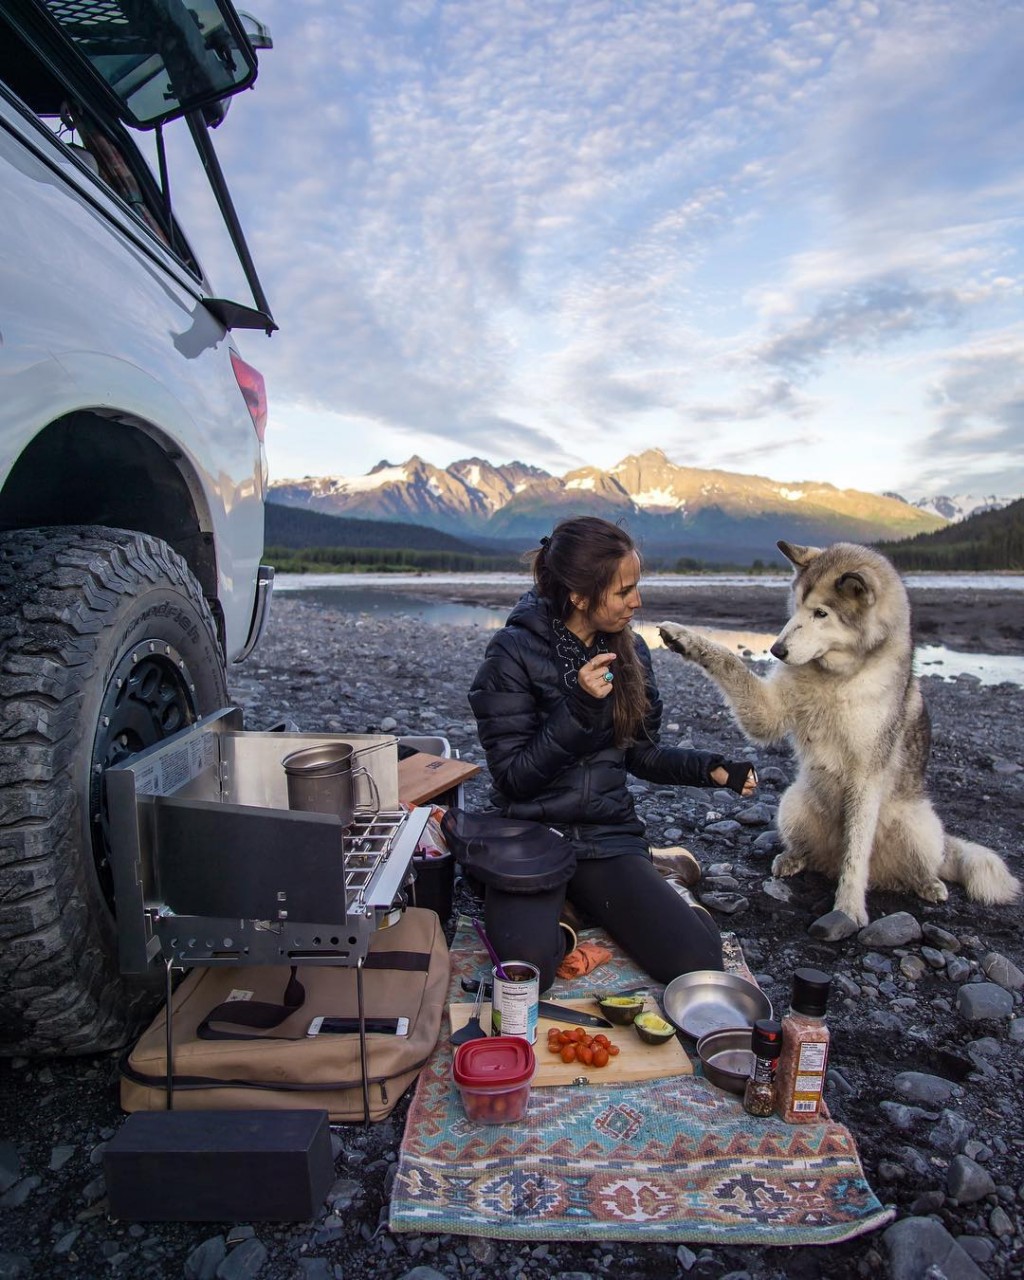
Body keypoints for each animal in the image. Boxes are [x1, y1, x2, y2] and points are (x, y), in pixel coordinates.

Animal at [660, 535, 1018, 926]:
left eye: (821, 613)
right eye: (796, 607)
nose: (776, 649)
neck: (835, 678)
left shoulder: (866, 776)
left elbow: (856, 853)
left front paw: (848, 909)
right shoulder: (767, 712)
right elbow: (728, 661)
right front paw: (684, 638)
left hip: (919, 828)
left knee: (924, 864)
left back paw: (929, 884)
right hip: (793, 804)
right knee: (810, 851)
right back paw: (792, 859)